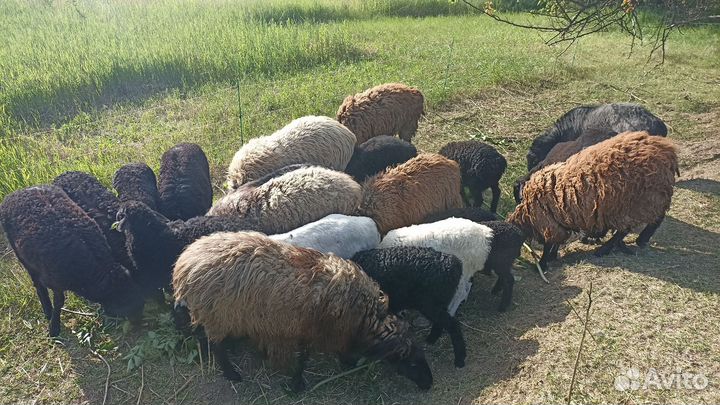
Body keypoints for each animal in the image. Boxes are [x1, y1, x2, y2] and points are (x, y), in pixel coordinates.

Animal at [0, 185, 144, 337]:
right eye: (124, 308)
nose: (139, 323)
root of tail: (17, 192)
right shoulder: (56, 281)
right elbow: (59, 302)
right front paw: (54, 327)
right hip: (20, 253)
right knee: (38, 284)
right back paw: (47, 310)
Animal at [173, 231, 433, 391]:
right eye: (411, 363)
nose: (429, 384)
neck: (363, 317)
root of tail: (185, 263)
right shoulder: (312, 329)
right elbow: (305, 357)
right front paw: (299, 383)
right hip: (218, 315)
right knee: (216, 345)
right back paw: (231, 373)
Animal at [509, 131, 678, 272]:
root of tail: (668, 151)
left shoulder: (549, 222)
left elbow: (549, 243)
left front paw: (543, 263)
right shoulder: (559, 218)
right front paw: (551, 257)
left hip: (641, 201)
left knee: (641, 224)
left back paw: (615, 246)